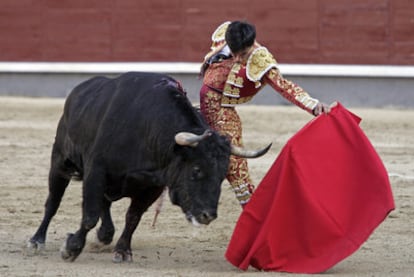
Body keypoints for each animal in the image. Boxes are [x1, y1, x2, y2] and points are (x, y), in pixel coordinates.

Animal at [26, 71, 272, 260]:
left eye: (222, 176)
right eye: (196, 170)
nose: (208, 215)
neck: (147, 129)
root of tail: (79, 90)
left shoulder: (153, 186)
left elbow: (132, 217)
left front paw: (123, 251)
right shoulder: (96, 171)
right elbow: (90, 215)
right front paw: (71, 249)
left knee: (105, 203)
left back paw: (105, 234)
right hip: (59, 161)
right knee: (53, 202)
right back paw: (37, 240)